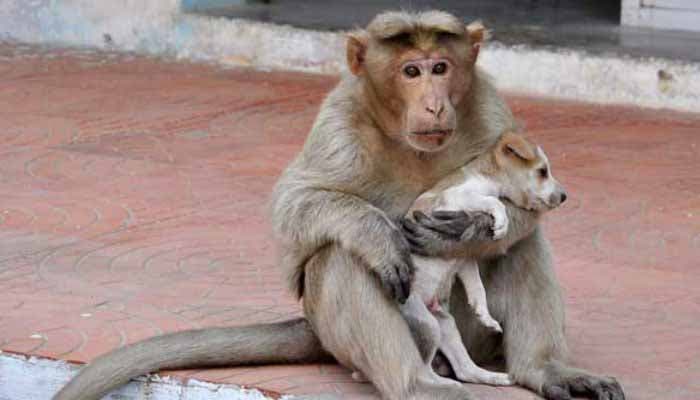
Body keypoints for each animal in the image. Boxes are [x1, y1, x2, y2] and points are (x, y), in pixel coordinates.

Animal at [400, 133, 568, 386]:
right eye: (542, 171)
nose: (564, 196)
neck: (486, 176)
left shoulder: (464, 258)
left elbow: (477, 286)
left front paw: (484, 314)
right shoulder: (455, 196)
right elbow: (493, 202)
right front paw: (501, 223)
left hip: (446, 325)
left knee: (465, 370)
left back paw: (496, 377)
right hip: (425, 323)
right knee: (422, 369)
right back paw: (443, 383)